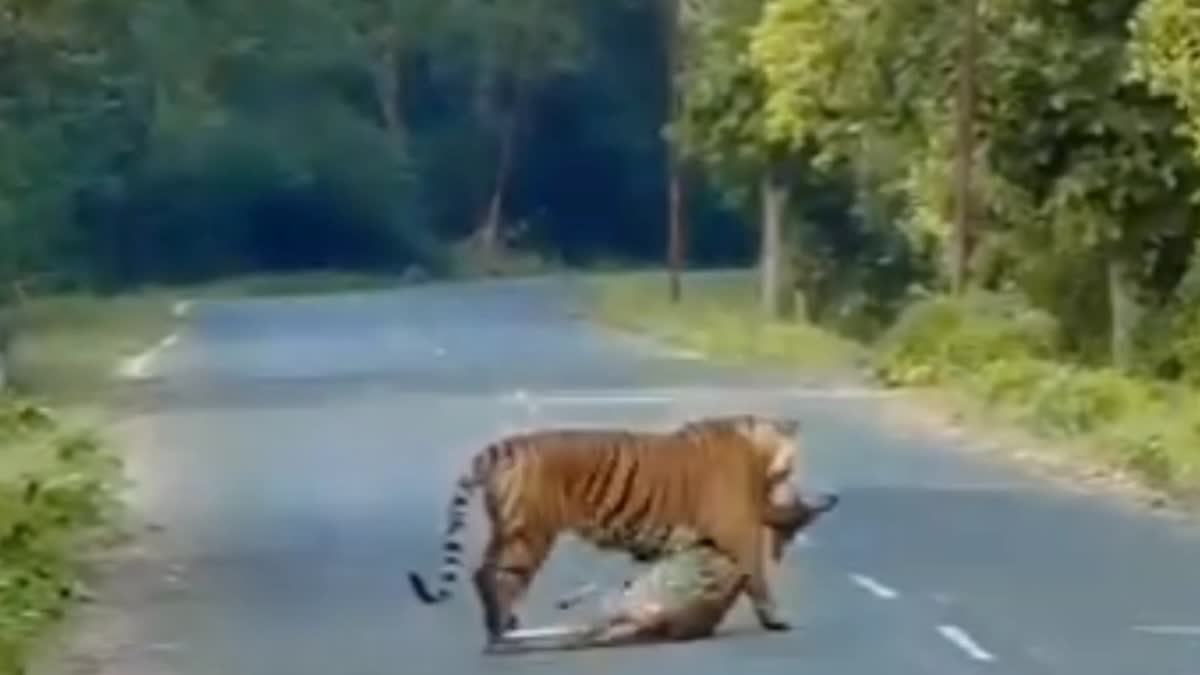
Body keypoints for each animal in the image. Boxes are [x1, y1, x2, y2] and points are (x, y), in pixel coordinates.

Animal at [408, 410, 801, 638]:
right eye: (792, 466)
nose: (793, 490)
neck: (754, 445)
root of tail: (507, 445)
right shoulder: (742, 536)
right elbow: (758, 580)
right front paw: (776, 619)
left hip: (507, 529)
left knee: (483, 573)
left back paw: (503, 625)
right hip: (530, 534)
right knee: (501, 577)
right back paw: (500, 631)